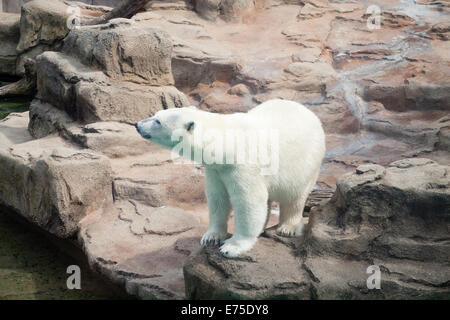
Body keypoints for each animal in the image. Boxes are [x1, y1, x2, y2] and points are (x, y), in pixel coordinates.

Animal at [135, 99, 326, 258]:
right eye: (156, 114)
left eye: (158, 121)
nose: (137, 125)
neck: (225, 144)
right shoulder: (216, 170)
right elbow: (217, 198)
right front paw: (211, 237)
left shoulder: (243, 165)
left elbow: (248, 202)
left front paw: (232, 247)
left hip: (306, 162)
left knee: (294, 196)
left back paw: (287, 228)